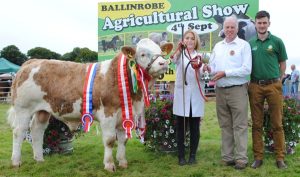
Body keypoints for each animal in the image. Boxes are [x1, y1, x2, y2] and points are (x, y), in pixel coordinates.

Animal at [7, 38, 173, 171]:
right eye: (143, 54)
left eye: (161, 52)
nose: (163, 63)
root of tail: (32, 61)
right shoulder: (108, 114)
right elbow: (110, 140)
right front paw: (109, 165)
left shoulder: (125, 115)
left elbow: (123, 139)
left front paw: (122, 162)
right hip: (23, 109)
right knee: (19, 132)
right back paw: (15, 162)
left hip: (42, 110)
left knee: (37, 130)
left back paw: (39, 159)